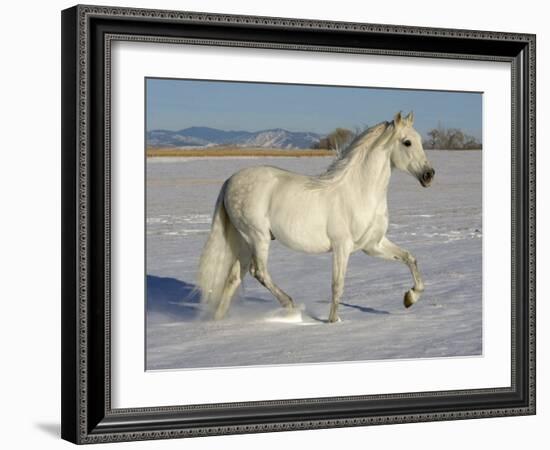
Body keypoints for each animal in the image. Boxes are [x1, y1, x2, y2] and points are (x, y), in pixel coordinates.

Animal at [198, 113, 436, 324]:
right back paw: (290, 305)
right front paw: (333, 321)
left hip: (244, 242)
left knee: (233, 278)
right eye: (407, 142)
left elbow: (410, 258)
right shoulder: (342, 247)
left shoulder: (373, 245)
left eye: (419, 140)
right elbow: (337, 285)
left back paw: (218, 323)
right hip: (258, 237)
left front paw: (410, 298)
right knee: (260, 272)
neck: (359, 191)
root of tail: (230, 180)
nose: (429, 175)